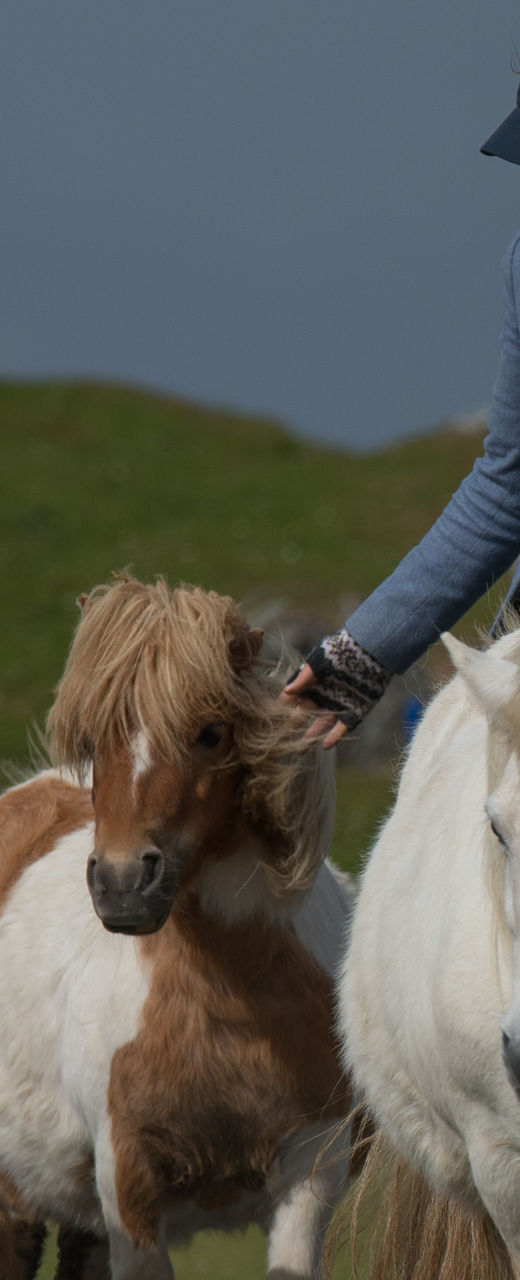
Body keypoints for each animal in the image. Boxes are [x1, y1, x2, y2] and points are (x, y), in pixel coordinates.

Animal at [0, 574, 352, 1280]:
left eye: (211, 733)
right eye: (95, 738)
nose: (121, 885)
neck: (230, 1009)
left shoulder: (313, 1171)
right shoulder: (129, 1190)